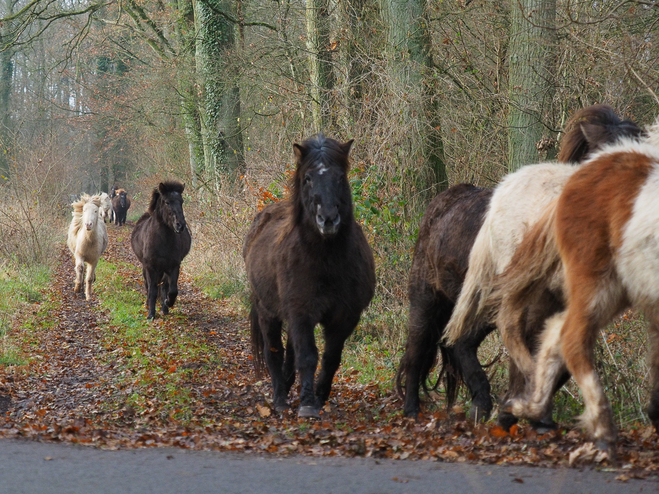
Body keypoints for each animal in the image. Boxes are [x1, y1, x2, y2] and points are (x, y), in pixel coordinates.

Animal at [130, 181, 189, 320]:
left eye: (181, 201)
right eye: (167, 202)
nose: (180, 225)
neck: (162, 241)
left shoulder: (173, 266)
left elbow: (172, 290)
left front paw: (168, 302)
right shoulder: (150, 267)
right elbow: (152, 290)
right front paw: (151, 314)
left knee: (164, 286)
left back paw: (164, 308)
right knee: (149, 285)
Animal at [244, 134, 378, 416]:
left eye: (340, 177)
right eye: (307, 178)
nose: (328, 219)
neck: (326, 261)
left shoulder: (345, 317)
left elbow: (330, 358)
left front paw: (319, 396)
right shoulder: (301, 312)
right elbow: (307, 356)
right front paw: (307, 404)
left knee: (290, 352)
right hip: (267, 312)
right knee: (274, 352)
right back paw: (280, 398)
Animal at [398, 104, 644, 424]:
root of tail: (444, 201)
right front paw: (515, 414)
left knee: (459, 343)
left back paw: (480, 405)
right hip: (427, 299)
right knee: (418, 352)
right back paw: (413, 410)